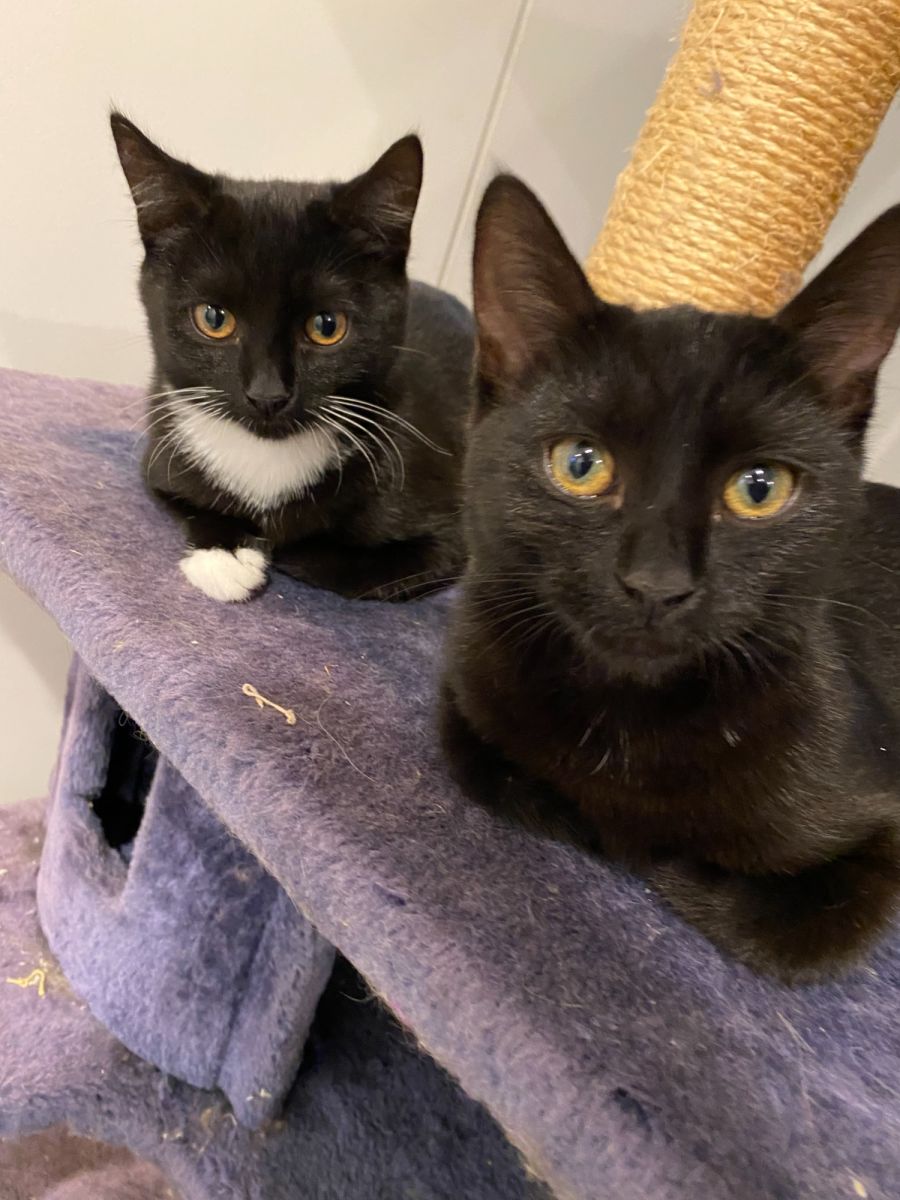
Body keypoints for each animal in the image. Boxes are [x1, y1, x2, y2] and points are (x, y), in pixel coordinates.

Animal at [111, 113, 473, 602]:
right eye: (213, 318)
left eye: (327, 326)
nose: (267, 394)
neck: (268, 459)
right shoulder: (159, 458)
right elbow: (186, 500)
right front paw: (224, 556)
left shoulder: (449, 532)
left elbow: (341, 563)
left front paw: (276, 545)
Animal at [440, 173, 900, 983]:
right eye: (580, 464)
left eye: (759, 488)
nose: (656, 583)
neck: (629, 722)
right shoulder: (466, 689)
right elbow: (498, 768)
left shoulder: (883, 827)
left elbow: (755, 916)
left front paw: (648, 849)